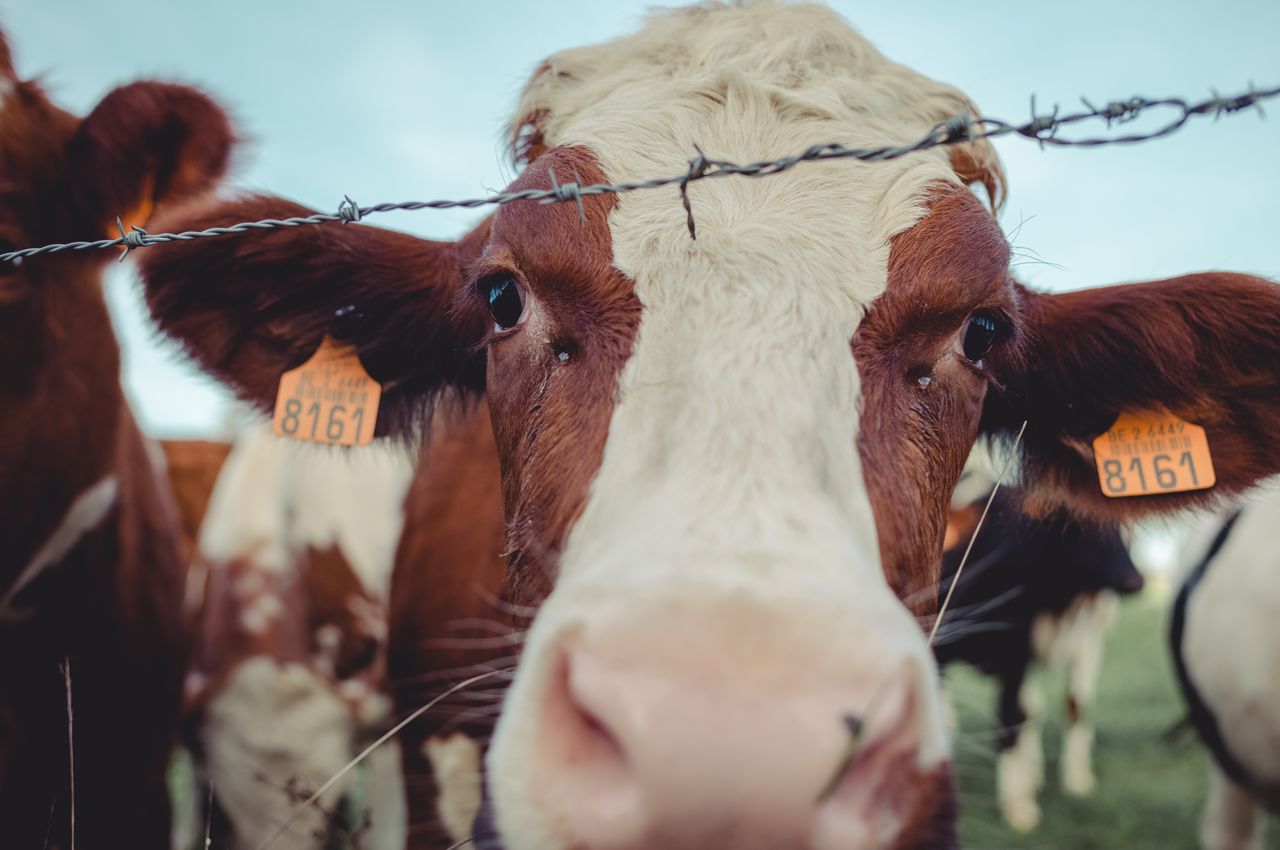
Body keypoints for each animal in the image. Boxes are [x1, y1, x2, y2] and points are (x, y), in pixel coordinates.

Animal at [936, 473, 1146, 834]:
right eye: (1084, 524)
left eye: (1127, 527)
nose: (1134, 581)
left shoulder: (1067, 646)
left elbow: (1056, 710)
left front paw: (1061, 784)